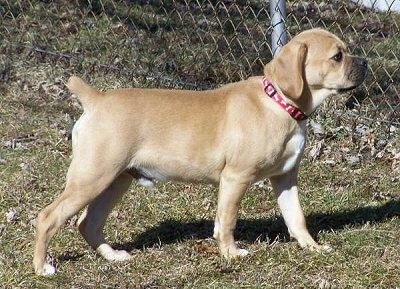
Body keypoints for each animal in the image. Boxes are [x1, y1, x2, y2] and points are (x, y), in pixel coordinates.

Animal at [32, 28, 368, 274]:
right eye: (337, 56)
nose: (365, 63)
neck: (280, 104)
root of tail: (96, 99)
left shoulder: (285, 178)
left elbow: (296, 217)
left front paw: (312, 248)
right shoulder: (235, 178)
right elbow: (228, 220)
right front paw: (231, 253)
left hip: (116, 180)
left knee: (87, 223)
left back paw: (113, 256)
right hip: (92, 177)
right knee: (48, 217)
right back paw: (42, 268)